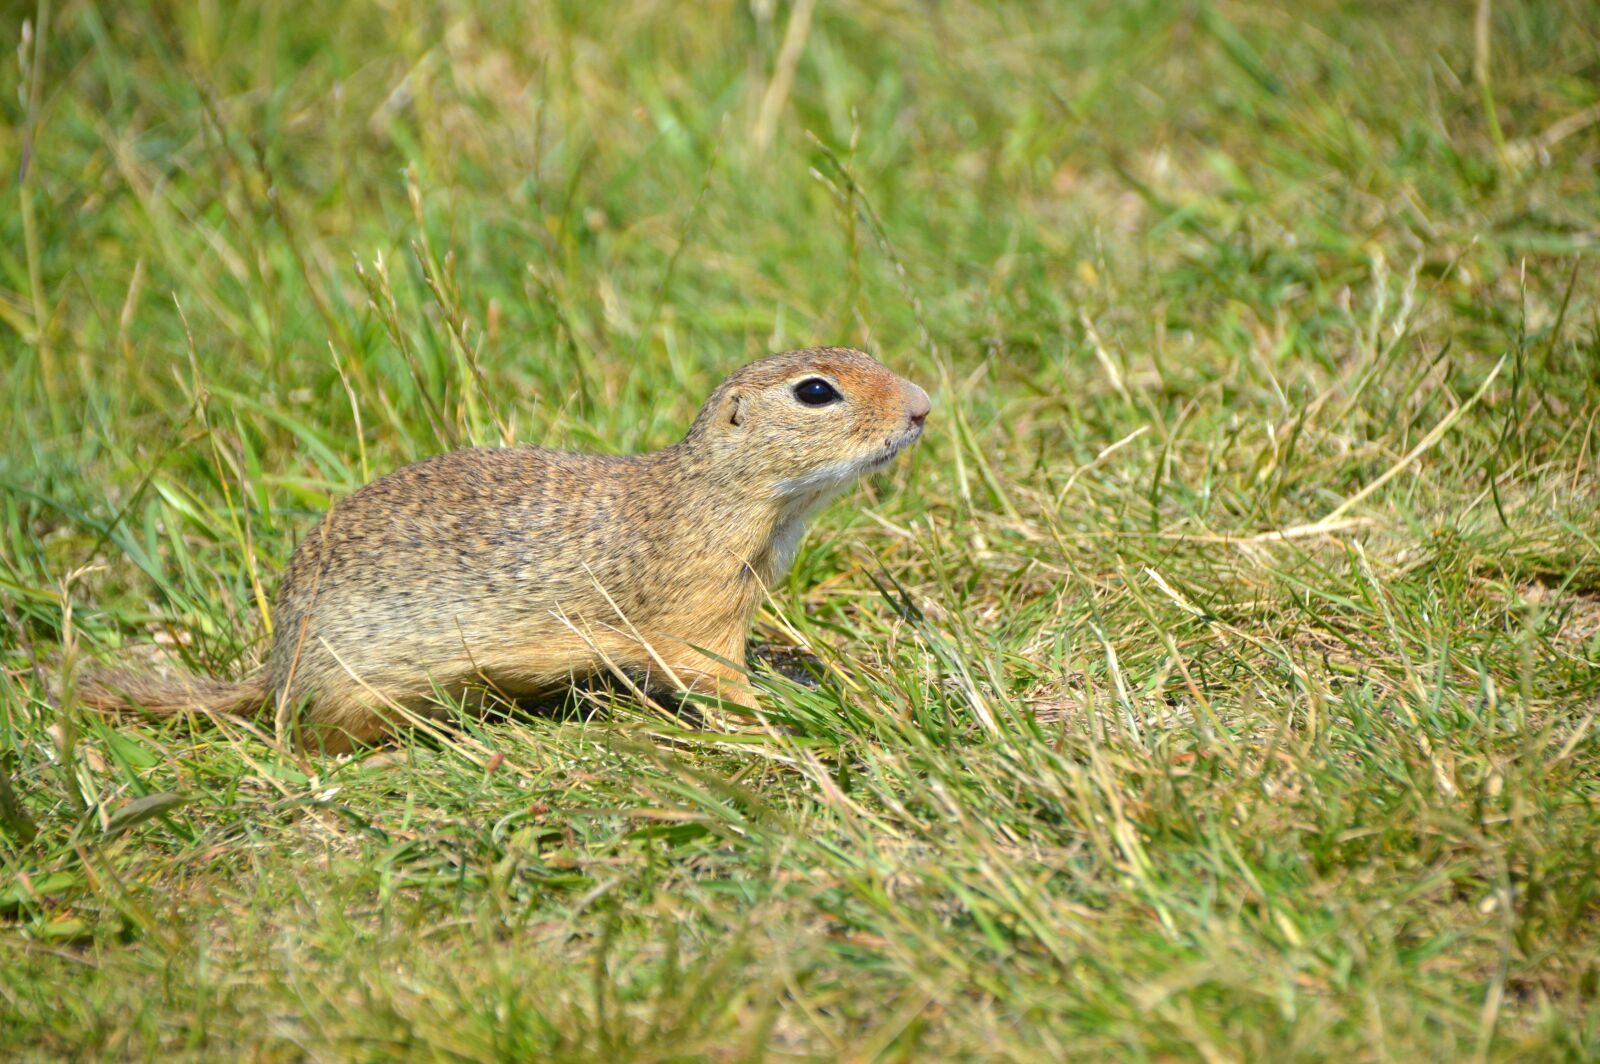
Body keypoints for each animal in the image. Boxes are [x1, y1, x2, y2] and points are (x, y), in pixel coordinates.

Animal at [78, 347, 931, 751]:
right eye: (816, 391)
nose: (925, 406)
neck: (717, 495)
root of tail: (277, 663)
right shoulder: (693, 609)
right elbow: (712, 674)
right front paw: (781, 724)